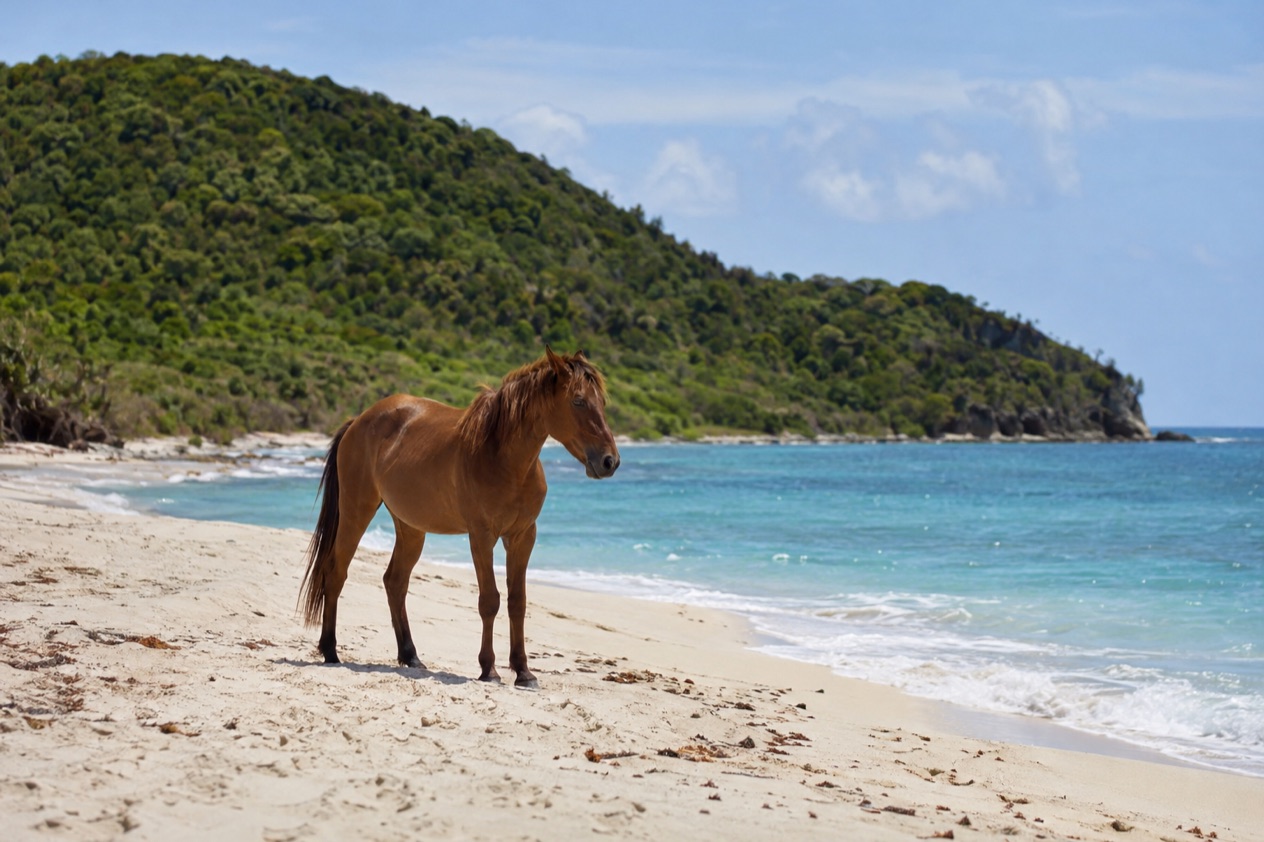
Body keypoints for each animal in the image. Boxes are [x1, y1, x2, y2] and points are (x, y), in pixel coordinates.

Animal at [299, 348, 620, 688]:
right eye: (578, 401)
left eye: (602, 401)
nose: (609, 461)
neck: (503, 459)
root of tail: (358, 421)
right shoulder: (481, 537)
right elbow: (489, 601)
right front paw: (489, 669)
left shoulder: (522, 537)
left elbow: (517, 602)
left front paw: (523, 672)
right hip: (356, 512)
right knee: (336, 573)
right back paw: (330, 651)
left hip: (411, 528)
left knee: (395, 582)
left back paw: (411, 656)